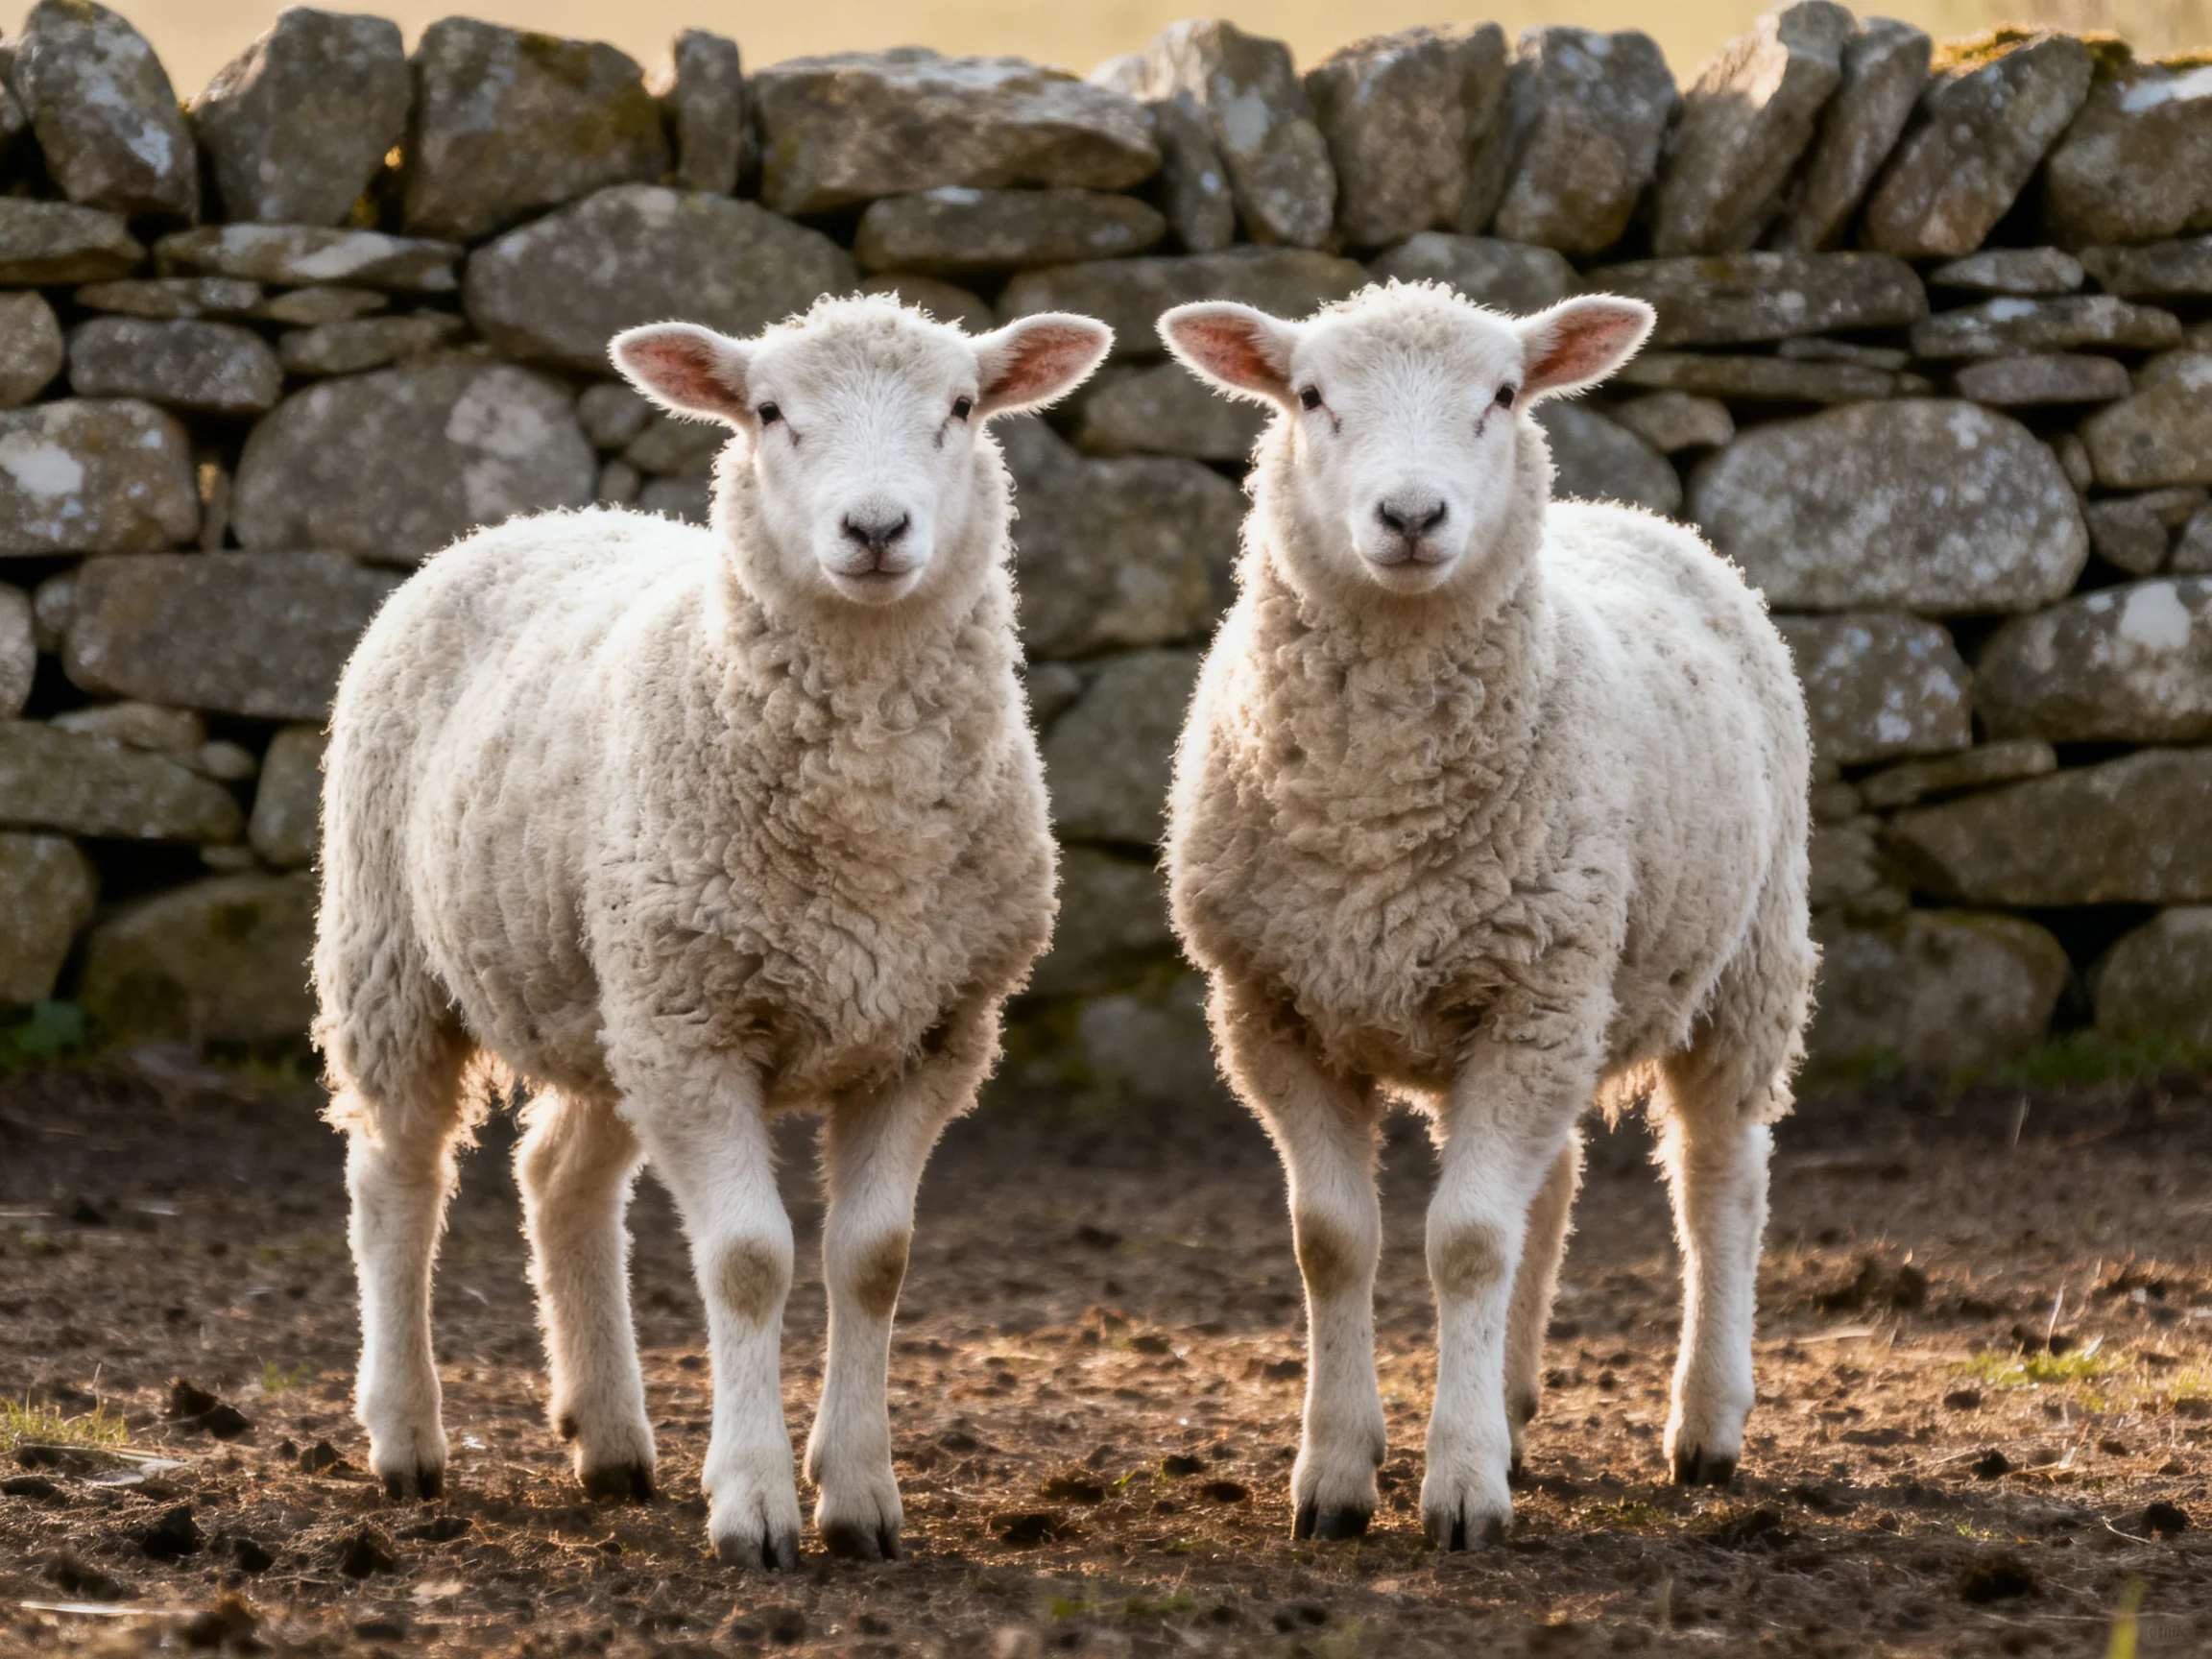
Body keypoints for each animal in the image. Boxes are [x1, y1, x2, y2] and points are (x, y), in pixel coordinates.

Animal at [314, 293, 1112, 1569]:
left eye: (960, 408)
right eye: (771, 411)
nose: (875, 528)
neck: (865, 815)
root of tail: (533, 520)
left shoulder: (930, 1033)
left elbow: (870, 1261)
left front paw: (860, 1495)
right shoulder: (699, 1033)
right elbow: (747, 1262)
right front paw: (753, 1505)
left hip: (611, 993)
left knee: (559, 1180)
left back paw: (610, 1439)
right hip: (397, 951)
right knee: (395, 1178)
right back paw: (406, 1437)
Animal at [1156, 281, 1815, 1549]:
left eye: (1503, 394)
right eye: (1311, 396)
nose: (1413, 516)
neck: (1381, 810)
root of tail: (1637, 517)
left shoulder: (1531, 999)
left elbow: (1464, 1241)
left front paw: (1459, 1488)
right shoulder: (1274, 1011)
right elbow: (1336, 1242)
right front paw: (1337, 1474)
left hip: (1742, 965)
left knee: (1721, 1185)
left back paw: (1705, 1424)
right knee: (1548, 1190)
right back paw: (1509, 1402)